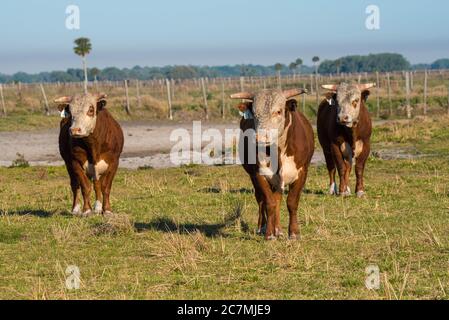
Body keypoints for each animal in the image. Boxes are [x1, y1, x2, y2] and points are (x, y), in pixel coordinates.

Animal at [229, 89, 314, 239]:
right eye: (254, 113)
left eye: (278, 111)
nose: (261, 138)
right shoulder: (258, 174)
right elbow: (269, 202)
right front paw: (269, 233)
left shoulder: (302, 172)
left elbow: (291, 202)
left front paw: (294, 232)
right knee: (261, 199)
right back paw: (263, 227)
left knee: (278, 198)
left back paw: (278, 229)